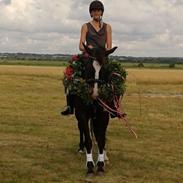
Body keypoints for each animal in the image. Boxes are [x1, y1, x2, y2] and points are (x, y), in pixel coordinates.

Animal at [73, 43, 117, 175]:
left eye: (104, 68)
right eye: (89, 67)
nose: (95, 93)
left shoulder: (103, 115)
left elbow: (101, 138)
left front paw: (101, 164)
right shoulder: (82, 114)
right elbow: (88, 139)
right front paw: (90, 165)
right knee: (82, 129)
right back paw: (81, 148)